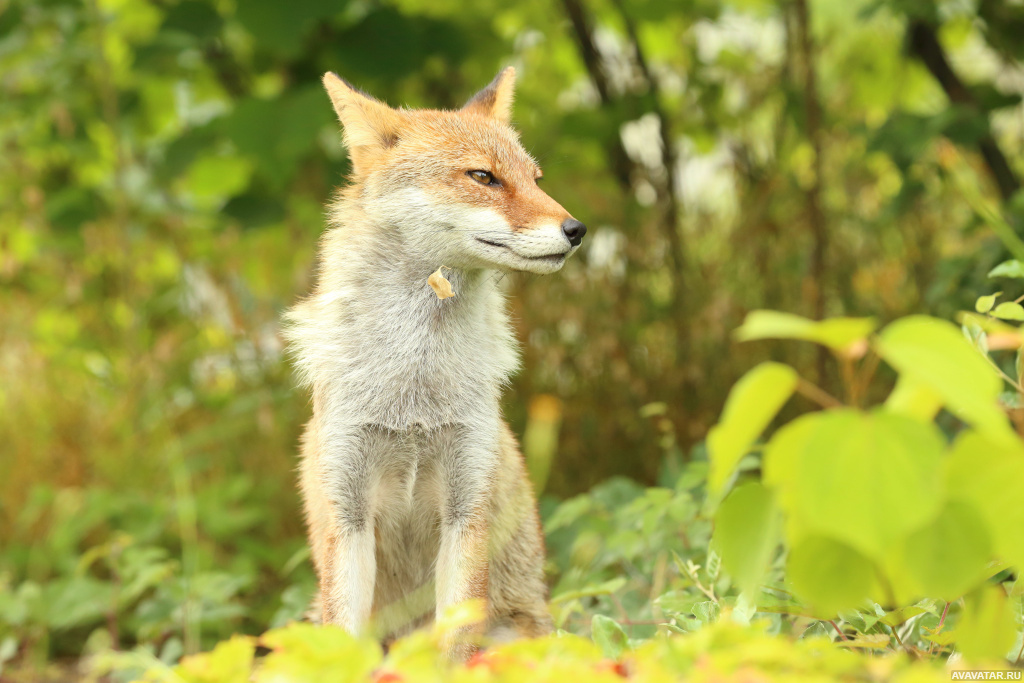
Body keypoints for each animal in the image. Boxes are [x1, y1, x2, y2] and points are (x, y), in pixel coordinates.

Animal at [282, 66, 585, 659]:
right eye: (483, 176)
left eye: (536, 178)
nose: (577, 230)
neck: (414, 392)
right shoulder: (347, 514)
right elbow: (344, 640)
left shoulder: (467, 509)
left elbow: (456, 643)